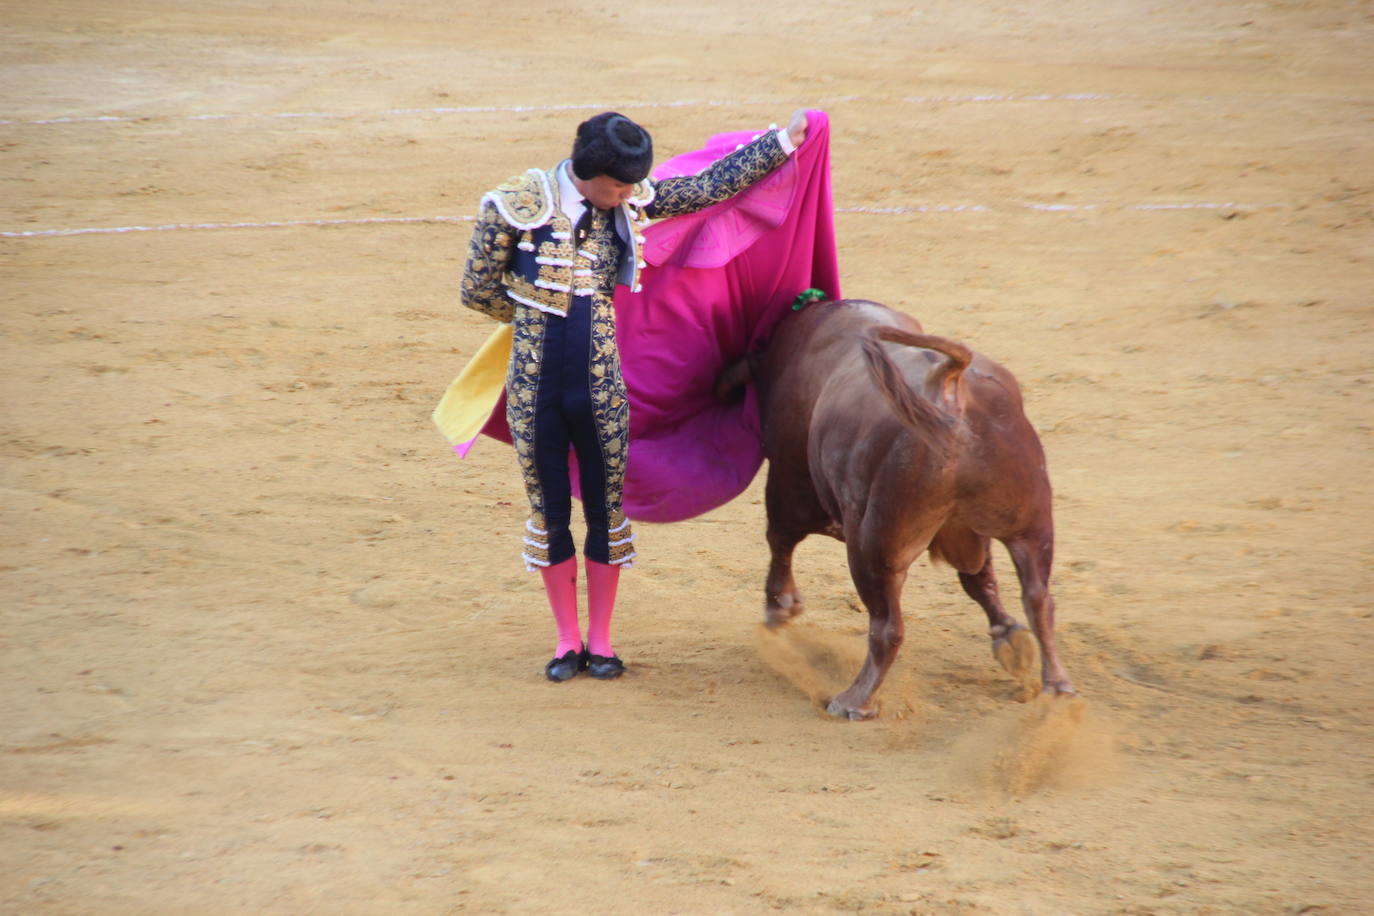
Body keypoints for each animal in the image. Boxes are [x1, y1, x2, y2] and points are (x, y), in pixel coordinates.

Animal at [719, 298, 1071, 719]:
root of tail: (948, 385)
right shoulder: (967, 529)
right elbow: (979, 579)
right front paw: (1008, 638)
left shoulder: (791, 482)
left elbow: (780, 538)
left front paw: (780, 607)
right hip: (1031, 526)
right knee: (1038, 598)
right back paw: (1056, 684)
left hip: (873, 546)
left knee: (887, 626)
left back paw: (854, 701)